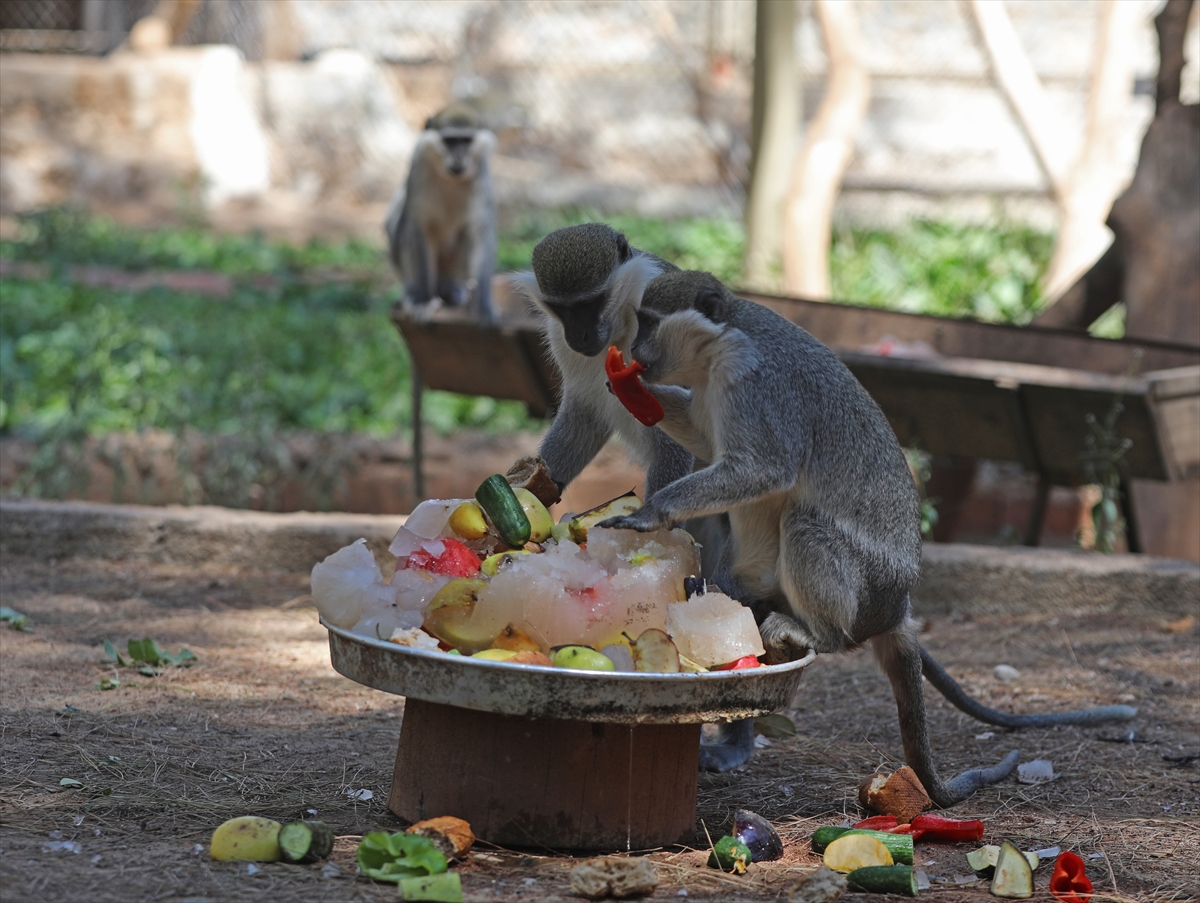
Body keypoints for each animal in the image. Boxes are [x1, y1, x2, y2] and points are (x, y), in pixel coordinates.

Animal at [386, 103, 494, 321]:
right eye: (450, 141)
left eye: (466, 140)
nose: (459, 158)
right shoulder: (418, 165)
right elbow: (418, 228)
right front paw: (423, 301)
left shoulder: (481, 169)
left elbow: (479, 233)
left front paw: (483, 306)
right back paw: (415, 292)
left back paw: (450, 287)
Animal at [604, 270, 1137, 802]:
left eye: (649, 321)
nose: (635, 349)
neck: (720, 344)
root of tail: (897, 606)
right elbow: (704, 438)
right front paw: (621, 382)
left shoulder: (755, 385)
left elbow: (764, 469)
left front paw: (653, 511)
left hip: (867, 587)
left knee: (805, 522)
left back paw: (818, 633)